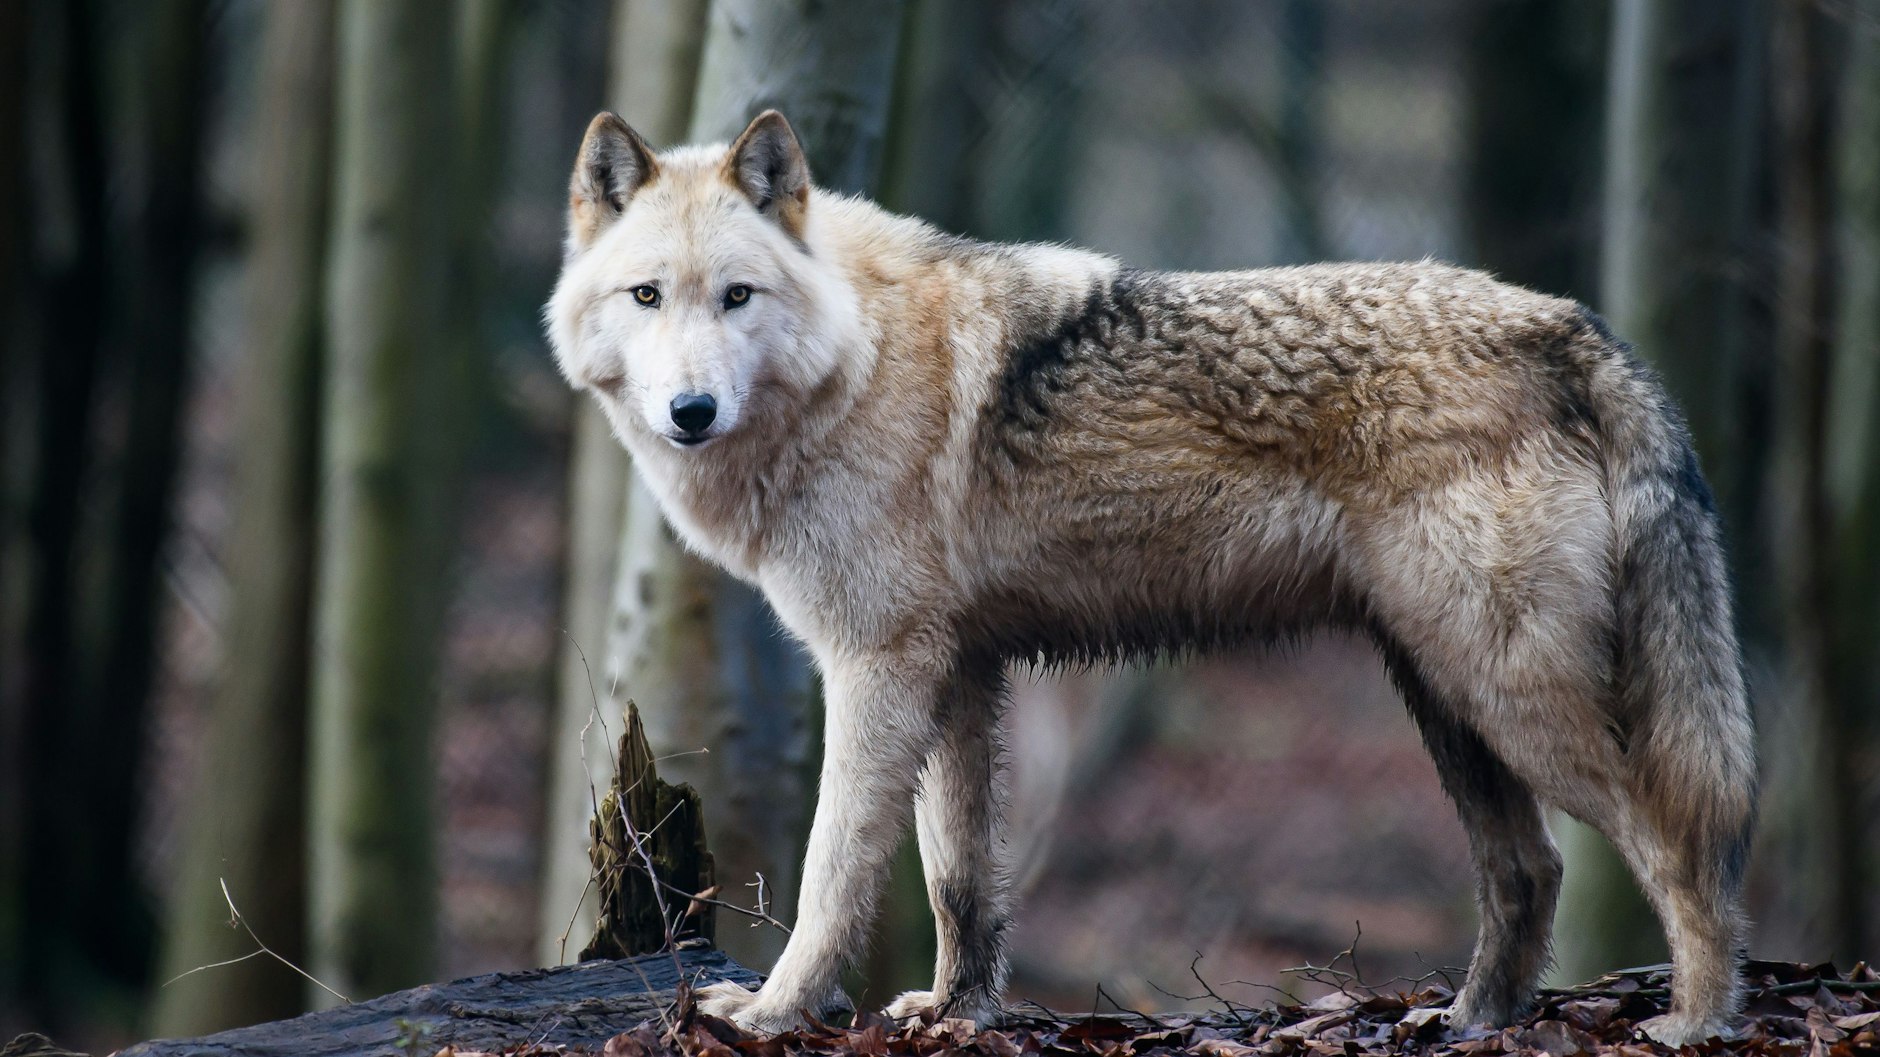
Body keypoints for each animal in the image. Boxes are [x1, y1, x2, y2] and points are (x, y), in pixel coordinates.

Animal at [545, 110, 1758, 1046]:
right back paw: (1467, 1022)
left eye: (735, 297)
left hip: (1510, 696)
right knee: (1531, 869)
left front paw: (772, 1011)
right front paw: (958, 1013)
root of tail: (1572, 326)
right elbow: (958, 880)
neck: (855, 357)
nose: (689, 411)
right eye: (648, 297)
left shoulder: (876, 670)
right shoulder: (959, 676)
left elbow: (830, 870)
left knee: (1681, 847)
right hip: (1449, 697)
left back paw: (1694, 1021)